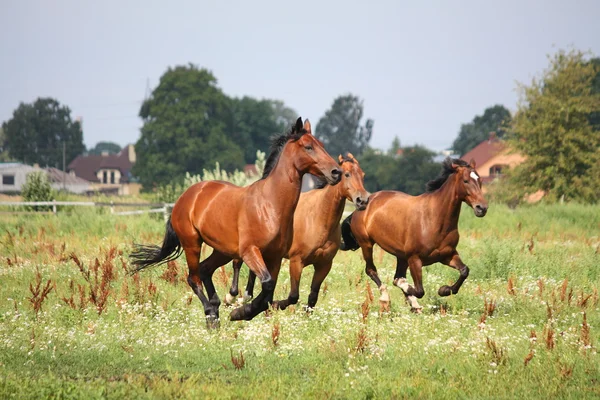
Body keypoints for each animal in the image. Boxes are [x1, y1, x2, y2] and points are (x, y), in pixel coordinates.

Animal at [130, 117, 342, 324]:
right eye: (308, 146)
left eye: (322, 145)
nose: (336, 172)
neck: (270, 205)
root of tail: (185, 197)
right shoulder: (250, 252)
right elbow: (266, 284)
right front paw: (241, 311)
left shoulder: (275, 256)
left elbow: (269, 291)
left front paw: (242, 310)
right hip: (192, 244)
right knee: (193, 278)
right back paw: (211, 314)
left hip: (222, 250)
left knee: (205, 269)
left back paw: (216, 307)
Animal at [226, 152, 370, 310]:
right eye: (346, 174)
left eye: (363, 174)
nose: (362, 200)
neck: (318, 218)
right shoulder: (296, 262)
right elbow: (293, 296)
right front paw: (274, 304)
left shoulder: (324, 265)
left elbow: (312, 297)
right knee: (237, 263)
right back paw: (233, 297)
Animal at [340, 157, 486, 312]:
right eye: (465, 181)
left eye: (480, 179)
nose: (482, 208)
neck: (433, 219)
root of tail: (362, 204)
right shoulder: (414, 259)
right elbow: (419, 290)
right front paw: (408, 289)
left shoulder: (448, 255)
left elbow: (465, 270)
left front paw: (444, 290)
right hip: (367, 244)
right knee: (371, 270)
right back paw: (387, 297)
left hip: (401, 255)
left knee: (397, 275)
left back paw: (413, 303)